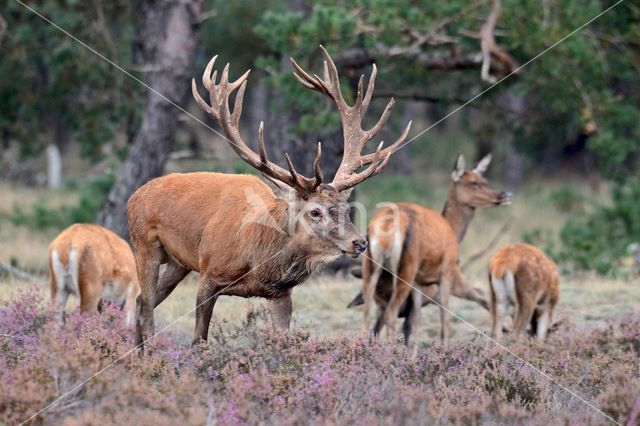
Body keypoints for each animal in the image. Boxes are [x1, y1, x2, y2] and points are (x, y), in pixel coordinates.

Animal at [127, 45, 412, 350]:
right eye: (315, 211)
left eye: (347, 208)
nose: (359, 243)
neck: (258, 257)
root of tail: (135, 195)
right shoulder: (209, 274)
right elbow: (198, 341)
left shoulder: (280, 294)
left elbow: (284, 343)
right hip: (144, 244)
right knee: (145, 307)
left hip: (178, 263)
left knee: (141, 301)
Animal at [358, 153, 512, 346]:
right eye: (473, 182)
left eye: (485, 179)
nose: (506, 195)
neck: (453, 230)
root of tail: (387, 224)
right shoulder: (449, 273)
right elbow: (451, 315)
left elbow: (411, 326)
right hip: (406, 271)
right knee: (391, 314)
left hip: (371, 269)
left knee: (367, 316)